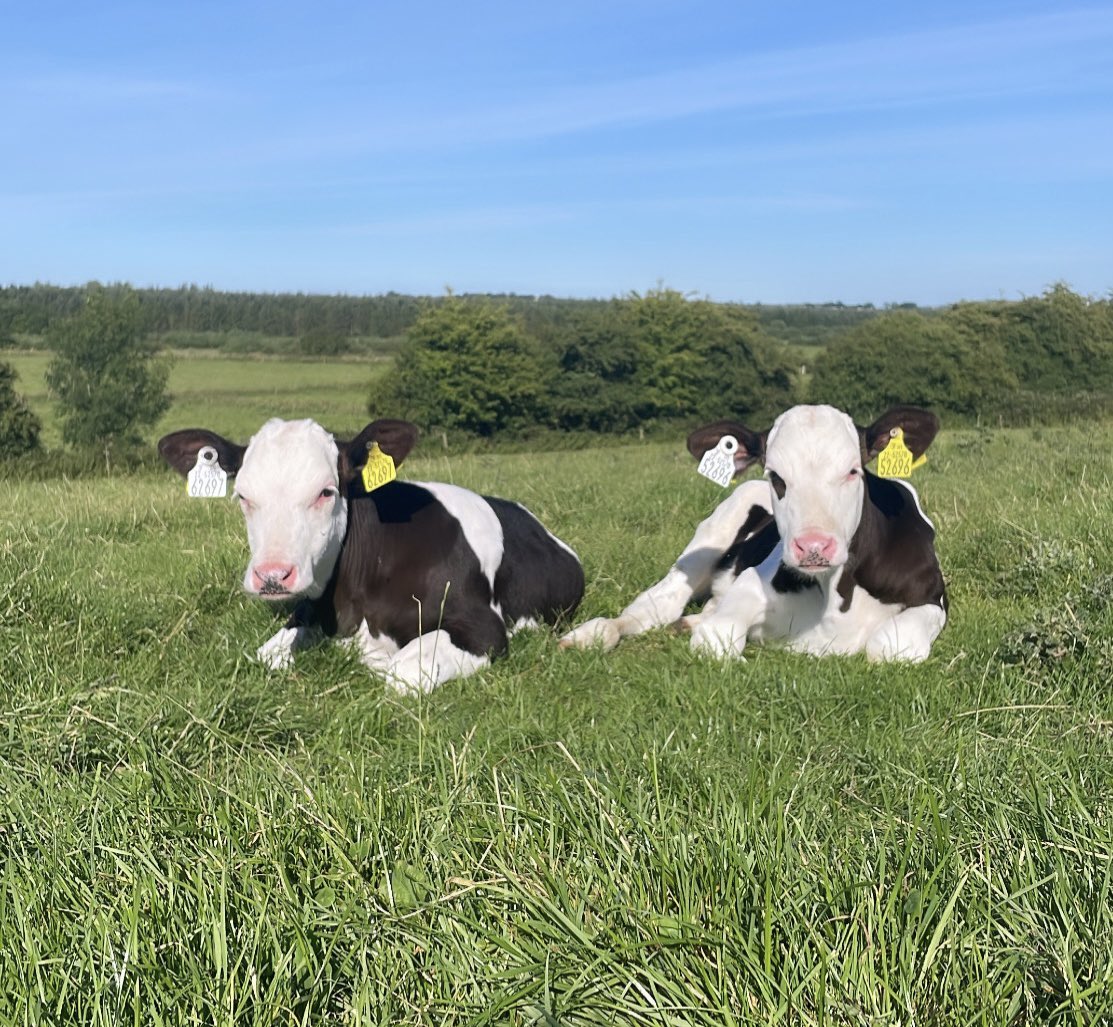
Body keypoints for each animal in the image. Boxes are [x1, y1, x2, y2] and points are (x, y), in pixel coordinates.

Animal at [158, 417, 584, 692]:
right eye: (242, 495)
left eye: (326, 491)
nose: (272, 576)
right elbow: (264, 656)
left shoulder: (483, 628)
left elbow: (400, 672)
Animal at [560, 404, 947, 663]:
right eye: (775, 475)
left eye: (854, 470)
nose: (813, 546)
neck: (838, 594)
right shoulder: (748, 582)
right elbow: (715, 639)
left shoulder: (933, 598)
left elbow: (892, 645)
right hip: (707, 540)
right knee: (654, 607)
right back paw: (592, 634)